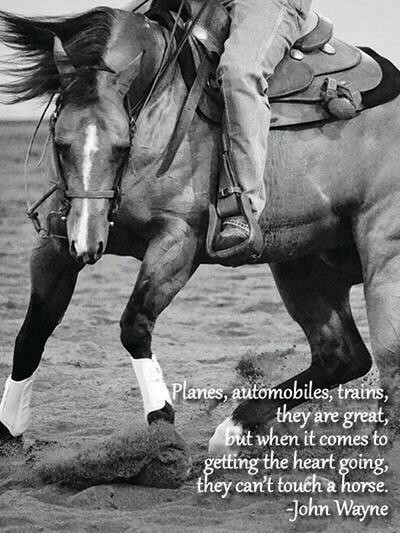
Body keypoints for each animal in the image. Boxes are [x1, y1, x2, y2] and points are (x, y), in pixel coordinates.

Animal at [0, 6, 399, 457]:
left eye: (122, 147)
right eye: (60, 142)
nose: (88, 243)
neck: (160, 108)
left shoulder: (178, 241)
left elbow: (134, 324)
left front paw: (160, 422)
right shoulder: (55, 245)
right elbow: (31, 333)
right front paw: (8, 431)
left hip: (382, 253)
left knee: (387, 363)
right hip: (301, 265)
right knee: (342, 355)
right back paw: (234, 429)